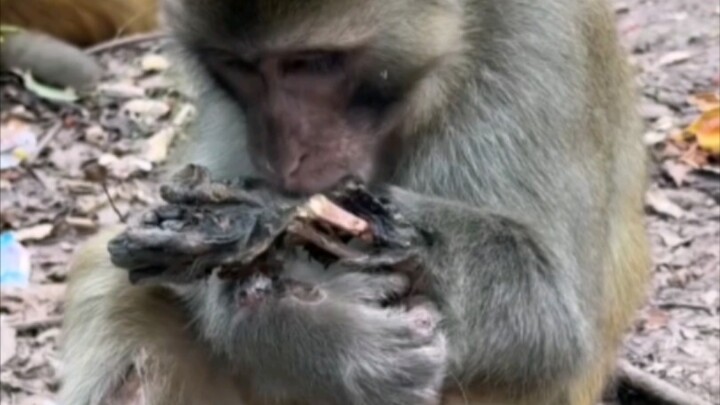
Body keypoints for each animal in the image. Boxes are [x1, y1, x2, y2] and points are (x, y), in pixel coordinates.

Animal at [58, 0, 651, 404]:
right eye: (240, 67)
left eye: (311, 63)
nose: (282, 155)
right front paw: (313, 338)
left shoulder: (538, 50)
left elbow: (556, 321)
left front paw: (265, 216)